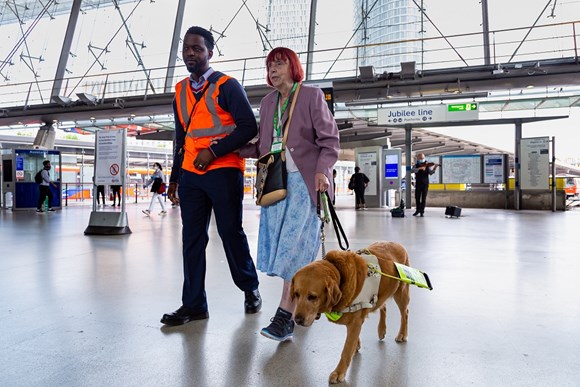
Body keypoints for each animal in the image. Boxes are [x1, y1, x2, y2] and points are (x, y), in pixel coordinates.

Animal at [292, 242, 410, 384]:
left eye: (312, 297)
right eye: (296, 294)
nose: (297, 320)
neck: (340, 274)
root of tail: (398, 244)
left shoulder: (355, 322)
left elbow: (346, 350)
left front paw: (339, 372)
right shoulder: (355, 323)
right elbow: (353, 340)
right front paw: (356, 345)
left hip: (401, 292)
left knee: (405, 313)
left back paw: (402, 334)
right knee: (383, 306)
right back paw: (381, 329)